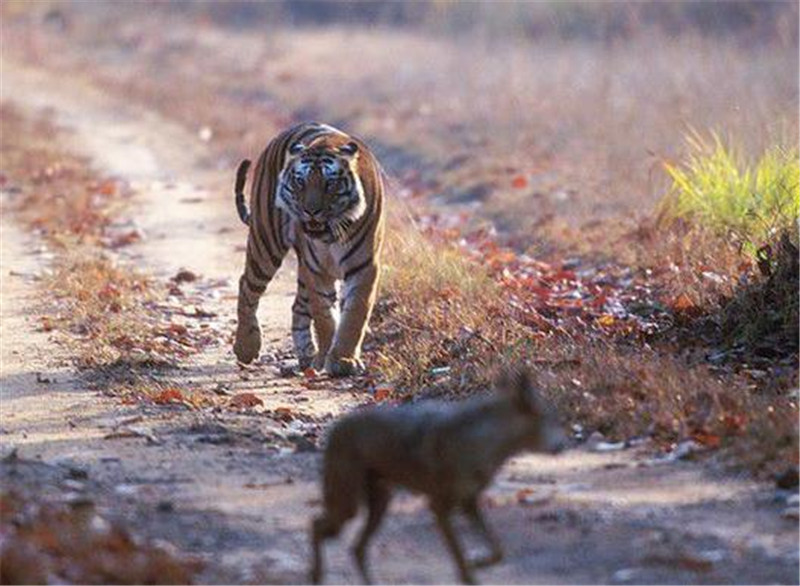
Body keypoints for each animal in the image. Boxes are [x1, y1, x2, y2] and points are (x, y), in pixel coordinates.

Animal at [233, 121, 386, 376]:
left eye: (330, 184)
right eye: (300, 182)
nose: (311, 211)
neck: (331, 234)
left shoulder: (364, 267)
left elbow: (355, 314)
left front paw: (343, 360)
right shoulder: (315, 269)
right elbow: (324, 316)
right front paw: (330, 356)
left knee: (297, 306)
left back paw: (306, 355)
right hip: (266, 242)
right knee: (247, 285)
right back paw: (246, 346)